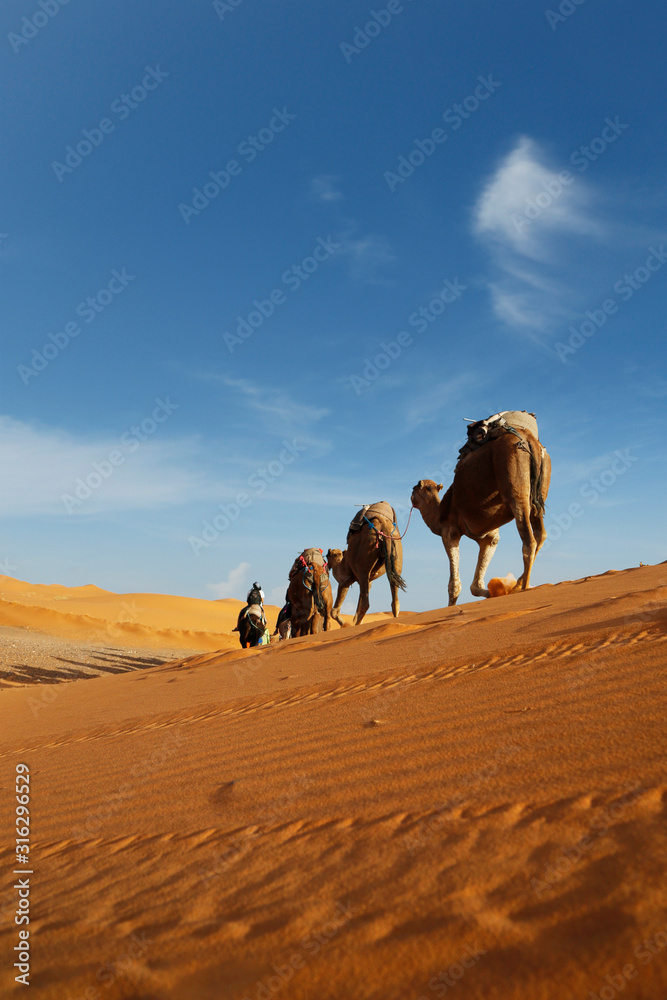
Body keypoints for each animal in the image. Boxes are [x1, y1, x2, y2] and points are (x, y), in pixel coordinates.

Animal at [412, 420, 552, 604]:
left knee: (529, 540)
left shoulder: (450, 531)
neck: (439, 513)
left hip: (514, 481)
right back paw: (515, 586)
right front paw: (494, 592)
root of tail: (529, 439)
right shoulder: (490, 536)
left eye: (414, 489)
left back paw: (524, 589)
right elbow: (475, 586)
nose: (411, 498)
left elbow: (454, 585)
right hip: (539, 493)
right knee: (541, 534)